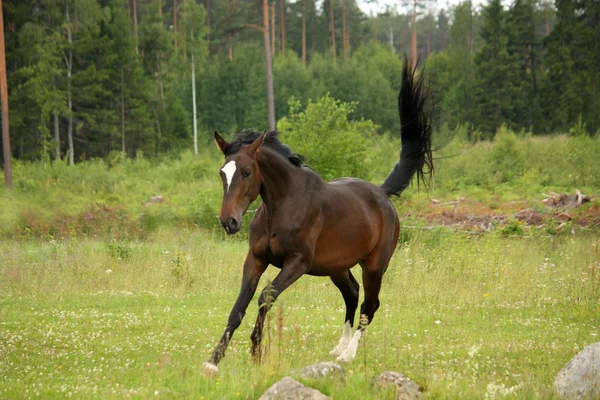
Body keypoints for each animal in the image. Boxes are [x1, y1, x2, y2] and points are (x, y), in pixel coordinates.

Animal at [202, 57, 432, 376]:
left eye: (247, 172)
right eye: (222, 173)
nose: (229, 222)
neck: (282, 207)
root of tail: (382, 194)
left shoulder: (297, 263)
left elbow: (265, 297)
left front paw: (256, 351)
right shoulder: (256, 259)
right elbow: (238, 307)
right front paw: (213, 361)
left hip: (375, 266)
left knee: (369, 306)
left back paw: (347, 354)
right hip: (337, 267)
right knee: (352, 293)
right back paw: (337, 348)